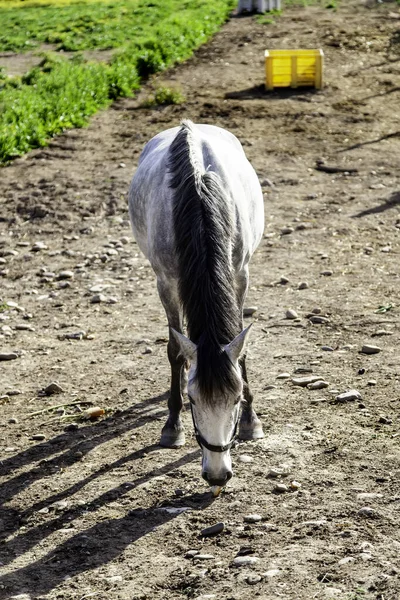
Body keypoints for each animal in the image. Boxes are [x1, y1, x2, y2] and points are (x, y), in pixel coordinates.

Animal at [130, 118, 264, 488]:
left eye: (236, 398)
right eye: (192, 401)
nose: (218, 475)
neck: (200, 197)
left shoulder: (240, 273)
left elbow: (239, 349)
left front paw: (251, 421)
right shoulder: (166, 282)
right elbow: (175, 350)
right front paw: (172, 426)